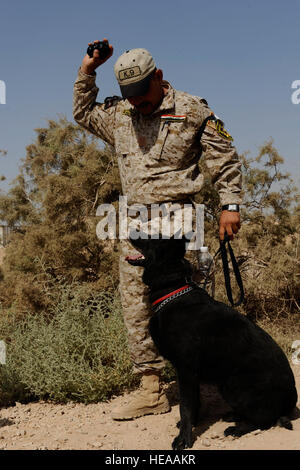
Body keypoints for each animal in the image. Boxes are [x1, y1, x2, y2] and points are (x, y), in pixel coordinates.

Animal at [126, 234, 298, 448]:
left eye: (152, 238)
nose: (129, 231)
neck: (173, 292)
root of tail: (291, 399)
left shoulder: (187, 370)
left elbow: (185, 406)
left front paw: (184, 438)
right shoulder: (190, 374)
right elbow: (194, 403)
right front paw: (192, 425)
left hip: (232, 386)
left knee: (265, 419)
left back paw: (238, 428)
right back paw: (234, 416)